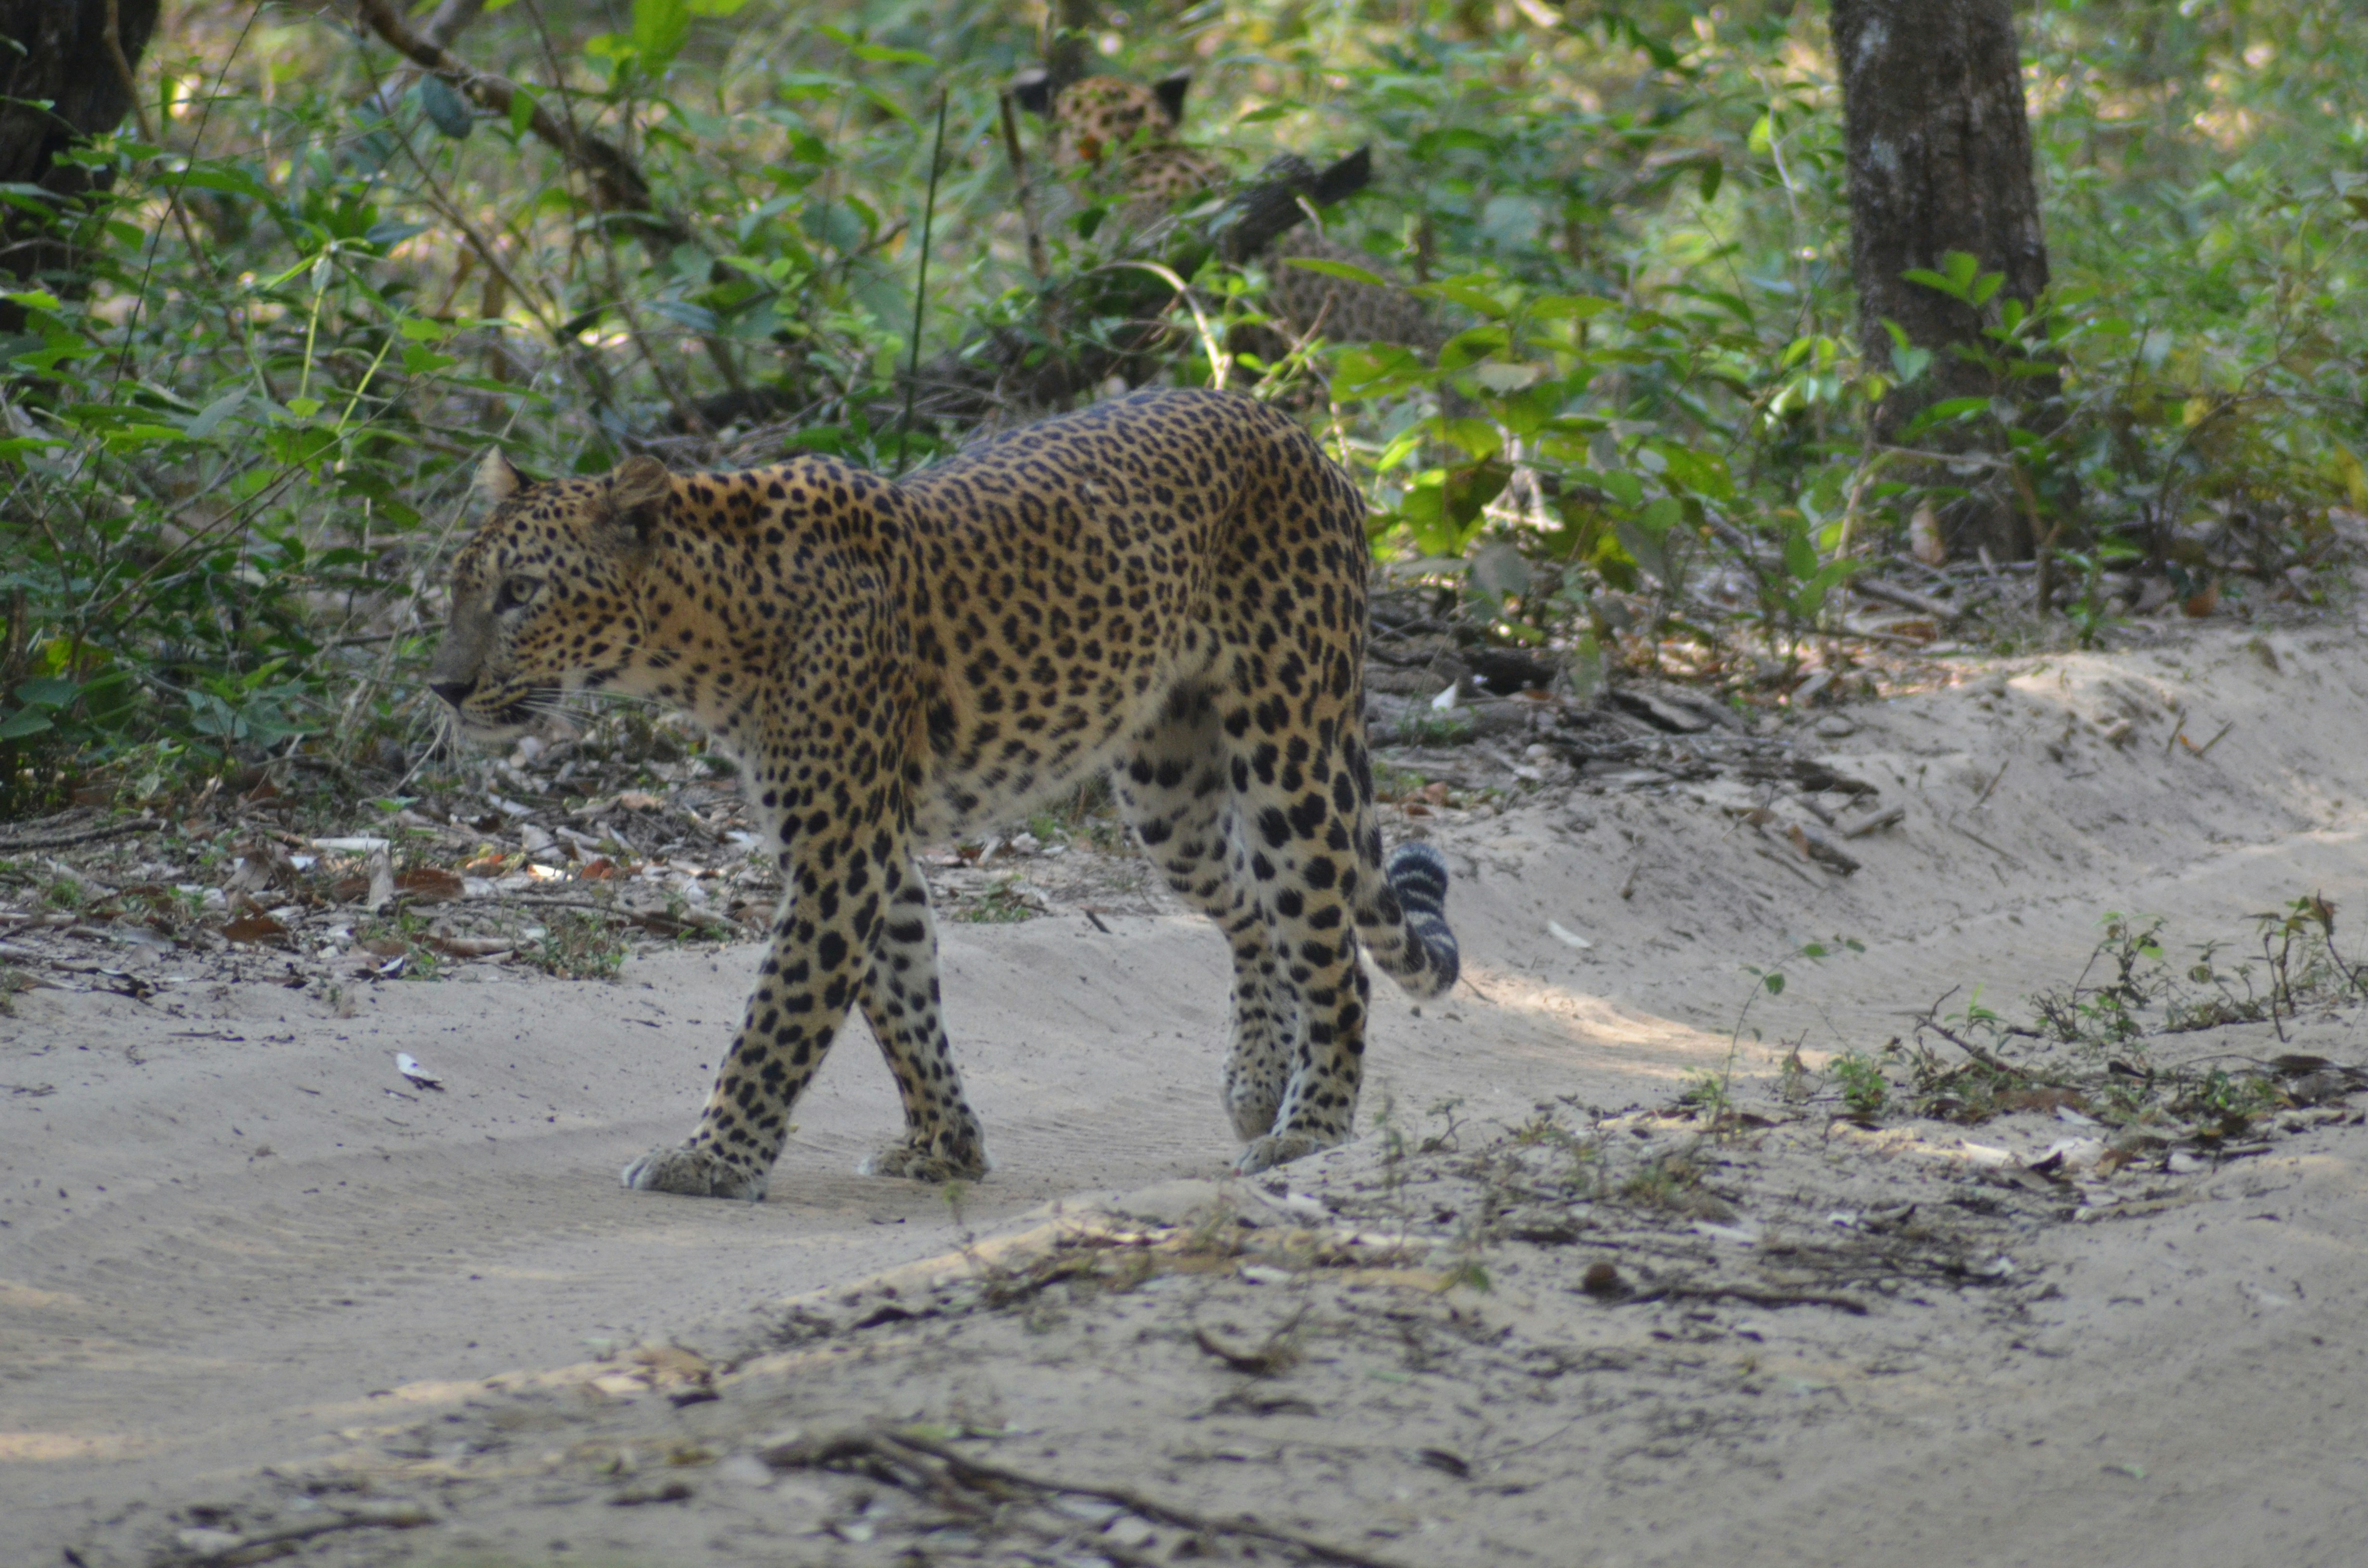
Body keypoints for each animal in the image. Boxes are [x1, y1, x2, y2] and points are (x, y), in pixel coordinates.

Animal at [429, 387, 1461, 1201]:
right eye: (460, 587)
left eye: (521, 591)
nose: (443, 686)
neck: (703, 633)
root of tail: (1290, 428)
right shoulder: (866, 847)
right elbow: (902, 1001)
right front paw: (945, 1147)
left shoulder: (839, 853)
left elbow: (778, 1017)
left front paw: (711, 1159)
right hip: (1167, 787)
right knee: (1252, 909)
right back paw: (1256, 1081)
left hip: (1290, 748)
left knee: (1331, 947)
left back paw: (1309, 1127)